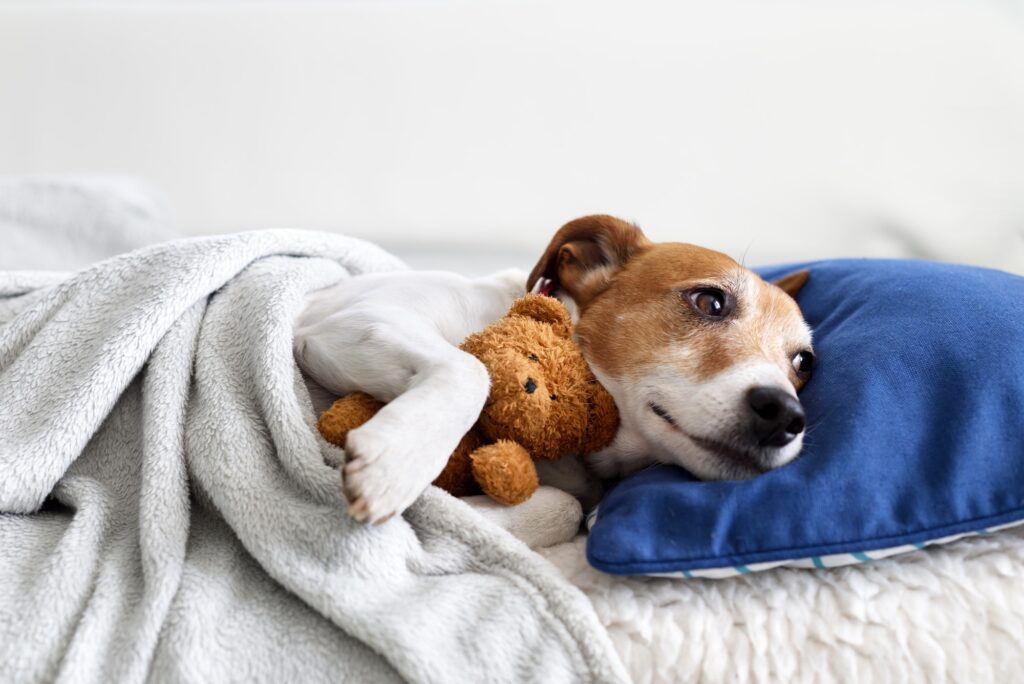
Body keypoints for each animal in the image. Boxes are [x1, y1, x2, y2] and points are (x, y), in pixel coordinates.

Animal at [292, 215, 811, 524]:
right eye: (710, 302)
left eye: (804, 362)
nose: (785, 416)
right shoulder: (349, 322)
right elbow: (470, 371)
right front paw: (394, 464)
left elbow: (562, 507)